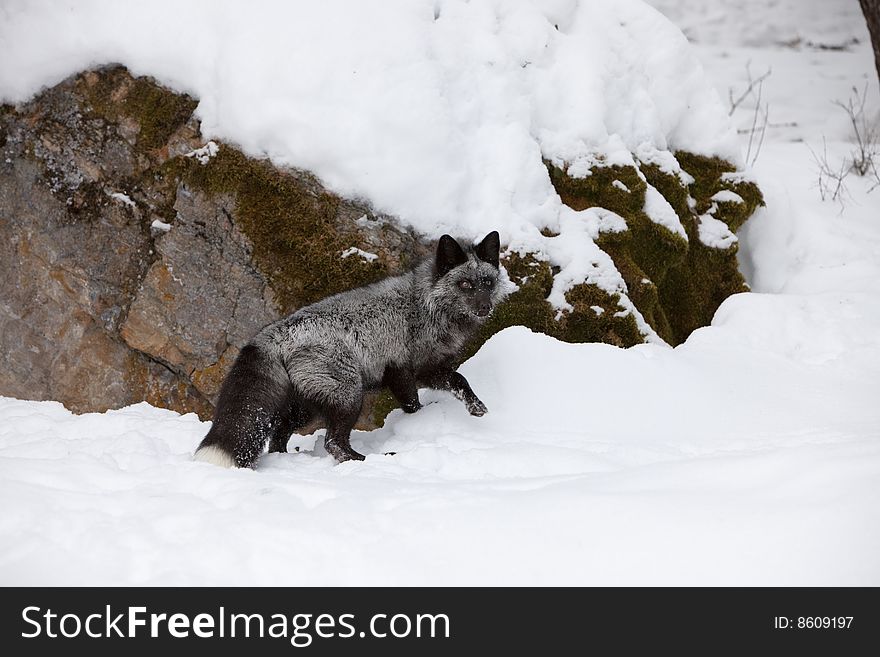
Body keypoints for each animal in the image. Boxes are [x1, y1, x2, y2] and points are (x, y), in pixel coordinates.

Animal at [195, 231, 506, 466]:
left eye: (487, 283)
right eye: (464, 284)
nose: (485, 307)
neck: (426, 306)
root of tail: (276, 331)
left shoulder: (422, 370)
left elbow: (452, 383)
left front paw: (471, 408)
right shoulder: (405, 370)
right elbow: (422, 398)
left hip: (307, 406)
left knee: (278, 437)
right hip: (347, 397)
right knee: (333, 443)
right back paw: (366, 460)